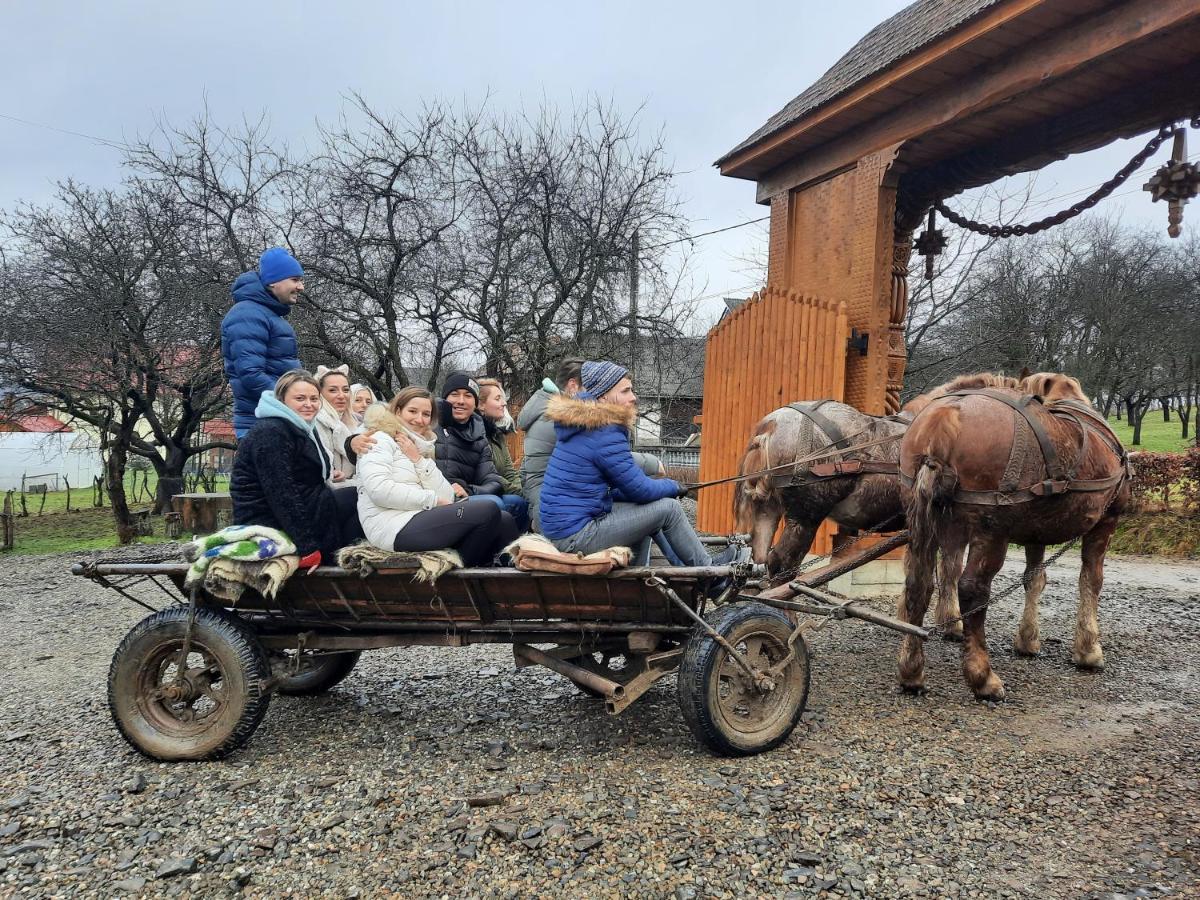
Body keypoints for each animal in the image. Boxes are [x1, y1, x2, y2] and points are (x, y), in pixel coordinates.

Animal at [902, 369, 1132, 700]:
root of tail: (946, 416)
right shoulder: (1105, 523)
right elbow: (1091, 580)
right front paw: (1089, 649)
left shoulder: (1036, 533)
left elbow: (1034, 579)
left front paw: (1027, 639)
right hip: (990, 531)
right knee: (972, 590)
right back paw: (982, 675)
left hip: (926, 520)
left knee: (918, 584)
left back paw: (911, 670)